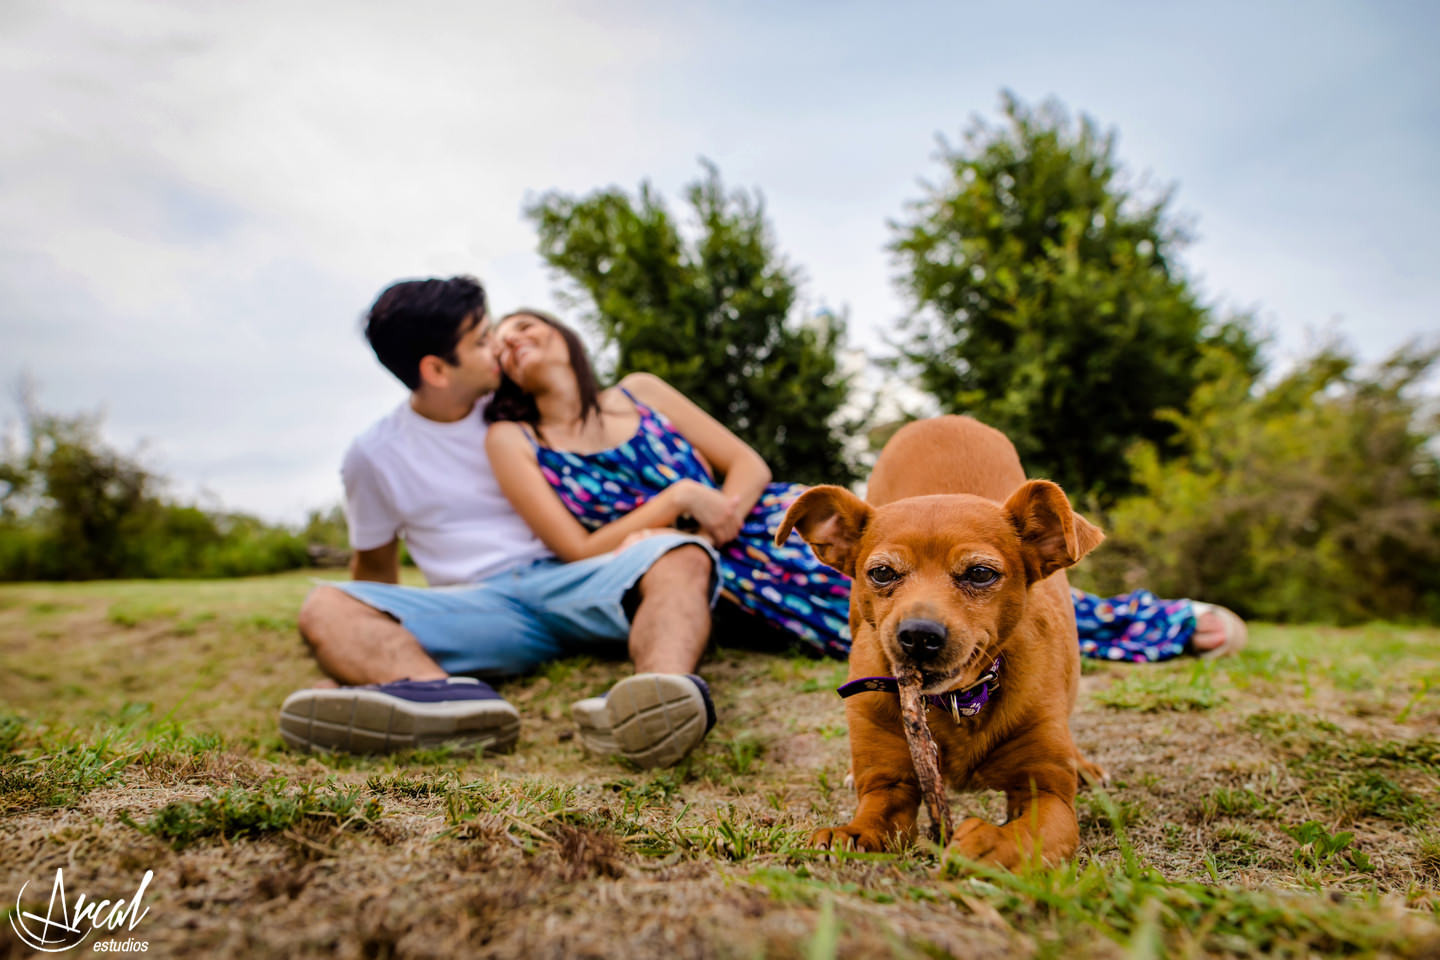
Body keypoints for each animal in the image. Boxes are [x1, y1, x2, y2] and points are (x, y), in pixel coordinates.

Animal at [777, 417, 1100, 869]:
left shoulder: (1049, 793)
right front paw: (848, 834)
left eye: (980, 573)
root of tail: (942, 420)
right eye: (882, 573)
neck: (955, 703)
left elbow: (1025, 834)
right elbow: (874, 815)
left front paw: (985, 845)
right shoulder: (890, 784)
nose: (918, 635)